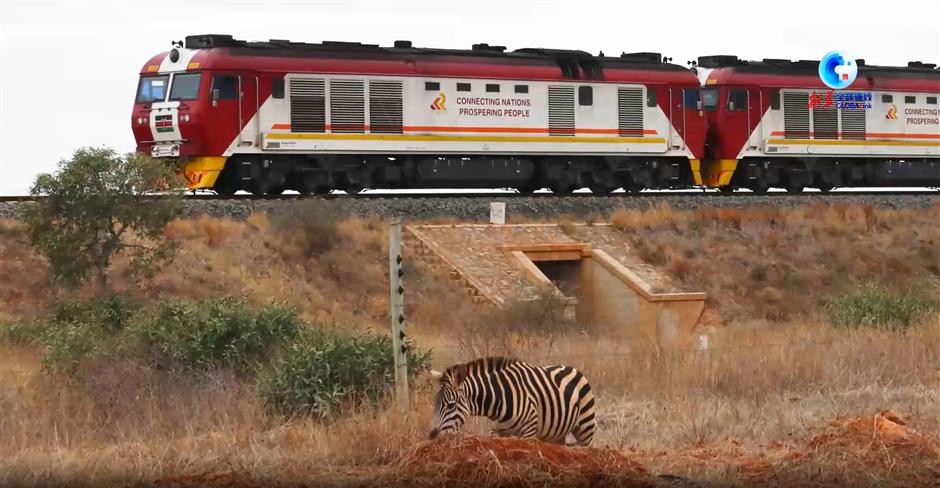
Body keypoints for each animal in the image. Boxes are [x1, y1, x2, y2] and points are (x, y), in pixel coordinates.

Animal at [428, 354, 596, 446]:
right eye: (435, 405)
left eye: (451, 405)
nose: (433, 437)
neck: (499, 399)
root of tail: (572, 368)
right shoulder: (497, 432)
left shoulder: (529, 431)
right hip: (556, 435)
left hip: (585, 428)